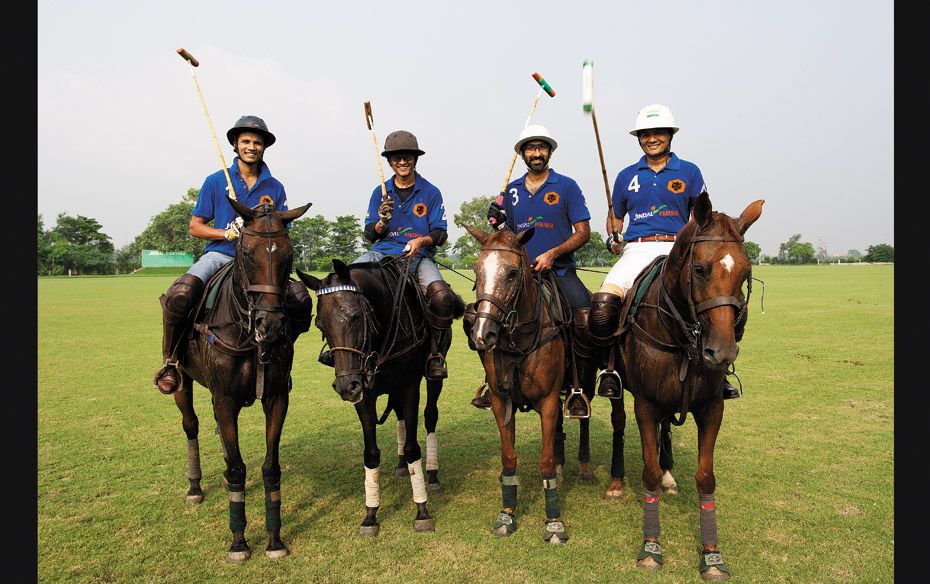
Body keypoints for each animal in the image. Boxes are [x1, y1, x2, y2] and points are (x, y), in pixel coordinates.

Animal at [174, 198, 316, 564]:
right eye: (248, 253)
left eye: (289, 254)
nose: (271, 324)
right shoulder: (225, 397)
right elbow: (240, 469)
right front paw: (238, 541)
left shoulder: (276, 397)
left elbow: (270, 467)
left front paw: (275, 538)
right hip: (182, 378)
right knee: (191, 424)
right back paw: (194, 487)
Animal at [298, 260, 464, 540]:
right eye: (320, 324)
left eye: (355, 316)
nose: (346, 387)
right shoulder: (365, 394)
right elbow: (371, 453)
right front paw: (370, 515)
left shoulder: (409, 388)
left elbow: (413, 447)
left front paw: (422, 511)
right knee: (399, 417)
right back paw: (400, 466)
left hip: (434, 375)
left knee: (430, 415)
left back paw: (432, 475)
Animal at [612, 193, 756, 580]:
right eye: (700, 269)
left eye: (745, 273)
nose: (721, 352)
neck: (680, 336)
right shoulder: (645, 404)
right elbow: (646, 473)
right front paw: (651, 547)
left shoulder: (711, 407)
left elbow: (706, 478)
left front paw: (712, 555)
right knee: (618, 422)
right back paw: (616, 482)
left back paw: (668, 475)